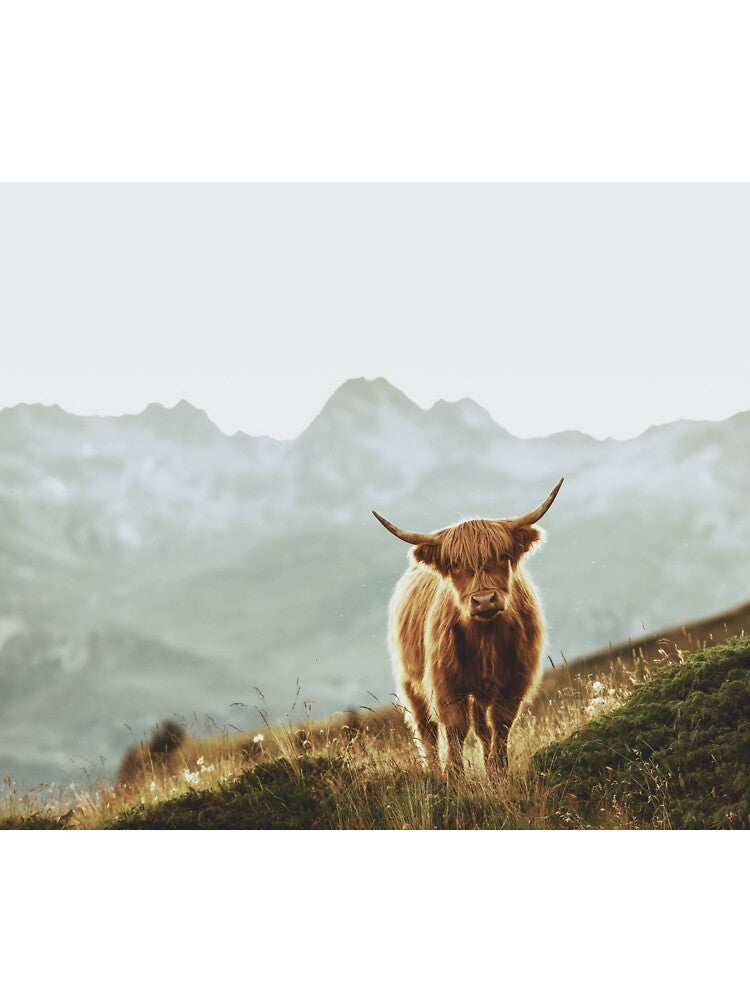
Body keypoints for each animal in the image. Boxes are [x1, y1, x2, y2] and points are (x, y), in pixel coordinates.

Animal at [373, 478, 563, 776]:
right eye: (455, 564)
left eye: (503, 556)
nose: (484, 600)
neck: (486, 637)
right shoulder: (446, 686)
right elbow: (455, 730)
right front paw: (455, 776)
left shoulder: (514, 683)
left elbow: (500, 727)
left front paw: (498, 772)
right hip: (409, 683)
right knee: (426, 730)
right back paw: (434, 771)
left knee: (482, 727)